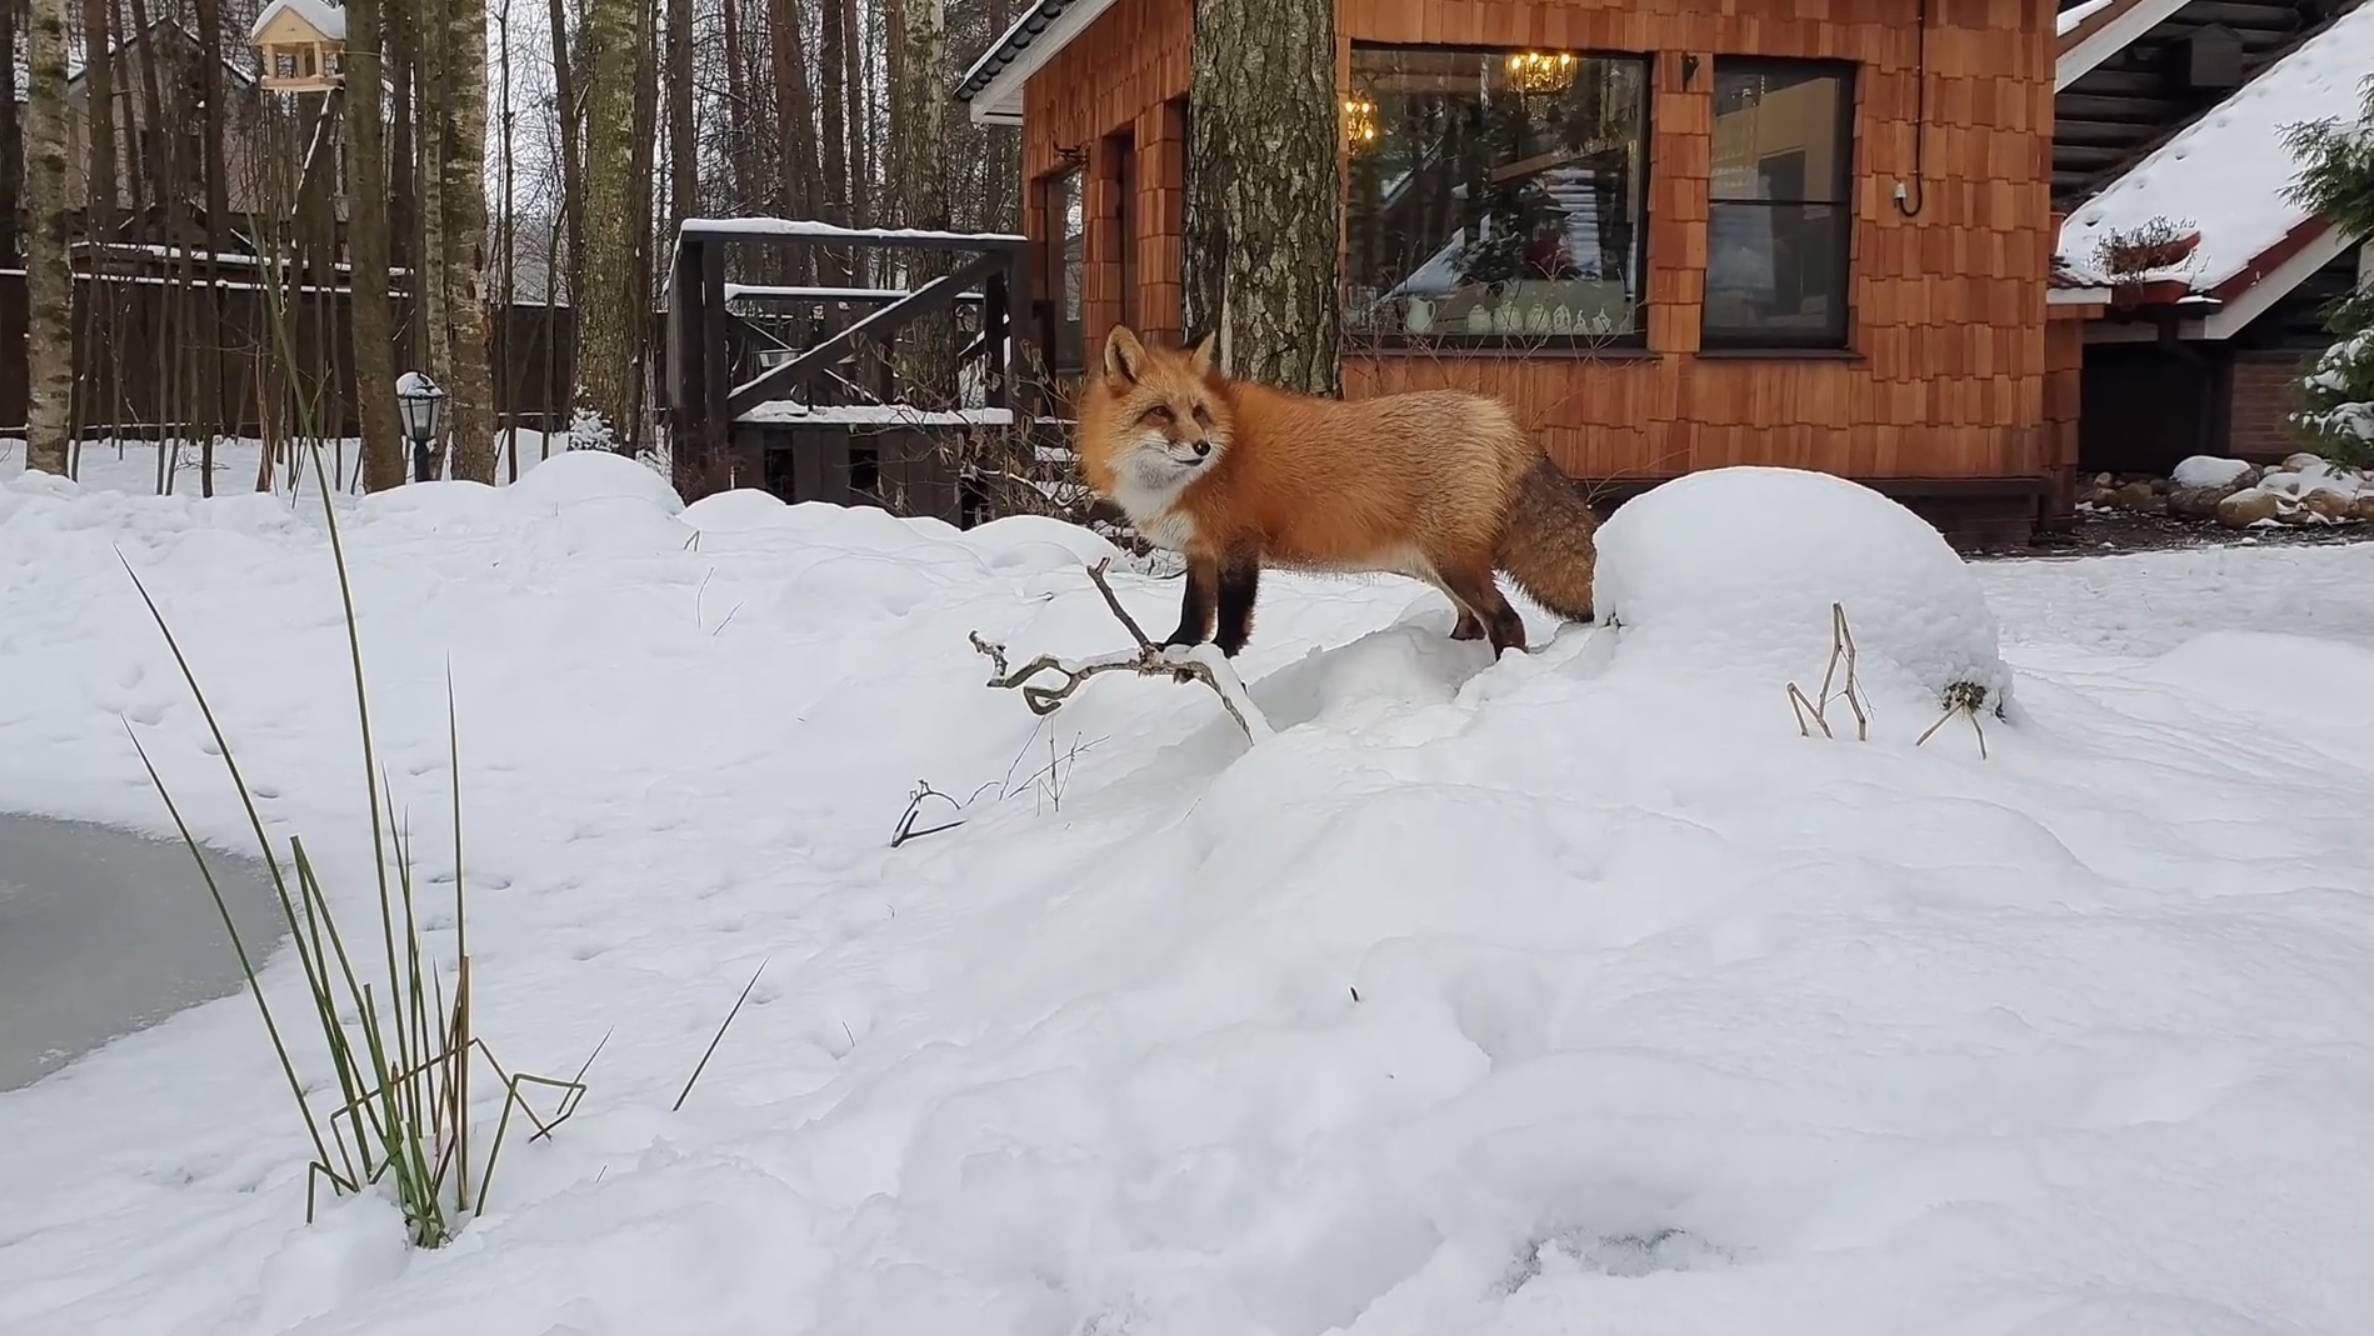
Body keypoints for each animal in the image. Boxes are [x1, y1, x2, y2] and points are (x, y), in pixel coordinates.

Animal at [1073, 325, 1595, 659]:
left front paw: (1222, 658)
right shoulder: (1200, 551)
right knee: (1471, 622)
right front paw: (1178, 651)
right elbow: (1193, 612)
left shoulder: (1238, 546)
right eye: (1160, 412)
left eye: (1198, 412)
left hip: (1453, 563)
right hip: (1434, 566)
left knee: (1506, 622)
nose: (1201, 447)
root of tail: (1496, 412)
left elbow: (1232, 616)